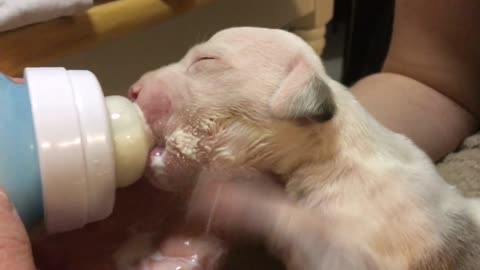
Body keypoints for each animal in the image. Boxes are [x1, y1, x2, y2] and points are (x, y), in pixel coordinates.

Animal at [129, 26, 480, 268]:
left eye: (206, 60)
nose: (133, 90)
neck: (323, 155)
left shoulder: (369, 239)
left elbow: (301, 225)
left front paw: (232, 197)